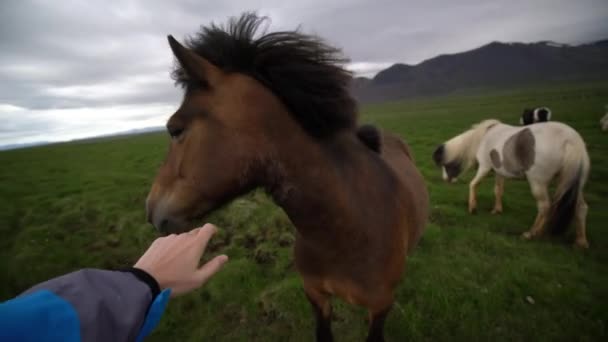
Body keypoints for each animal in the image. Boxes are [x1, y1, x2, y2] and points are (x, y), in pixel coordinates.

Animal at [432, 119, 588, 247]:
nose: (446, 180)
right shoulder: (499, 172)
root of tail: (571, 140)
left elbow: (473, 184)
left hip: (538, 183)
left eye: (443, 164)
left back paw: (531, 234)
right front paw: (496, 210)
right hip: (573, 184)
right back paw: (581, 242)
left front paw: (472, 208)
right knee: (580, 207)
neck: (483, 138)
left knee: (544, 207)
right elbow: (498, 190)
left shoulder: (485, 167)